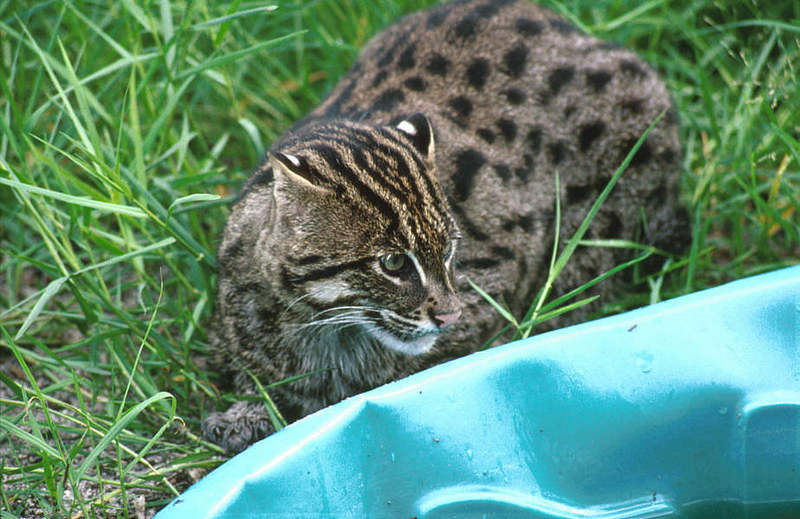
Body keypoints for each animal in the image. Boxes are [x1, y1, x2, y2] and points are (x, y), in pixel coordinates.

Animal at [202, 0, 688, 456]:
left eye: (450, 249)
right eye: (392, 262)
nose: (451, 314)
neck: (324, 326)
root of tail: (569, 28)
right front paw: (245, 412)